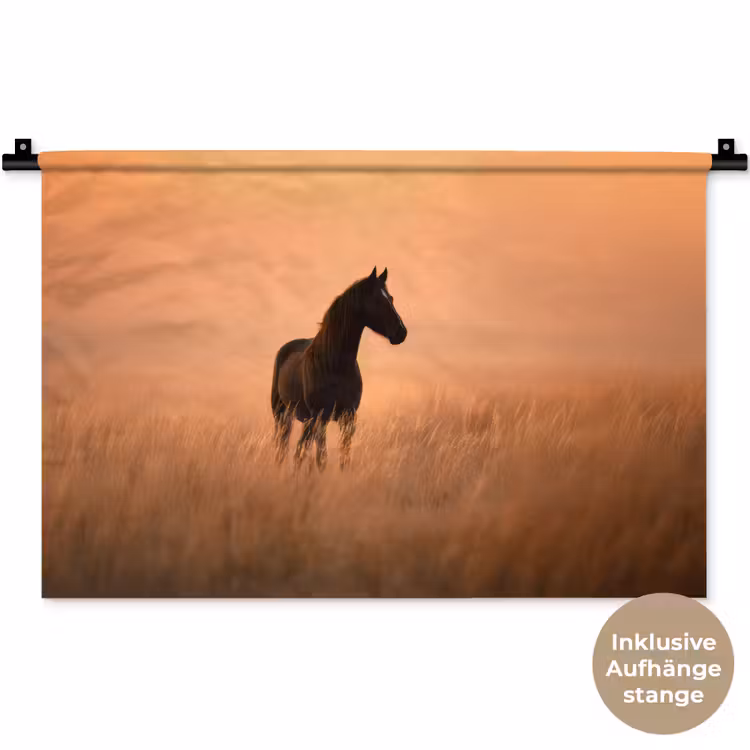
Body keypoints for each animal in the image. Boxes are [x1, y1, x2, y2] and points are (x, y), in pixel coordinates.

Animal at [271, 267, 407, 470]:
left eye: (390, 298)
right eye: (377, 300)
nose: (401, 332)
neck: (335, 365)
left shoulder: (348, 417)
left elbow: (344, 457)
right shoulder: (321, 416)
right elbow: (320, 458)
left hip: (306, 419)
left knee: (300, 449)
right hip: (282, 414)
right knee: (285, 448)